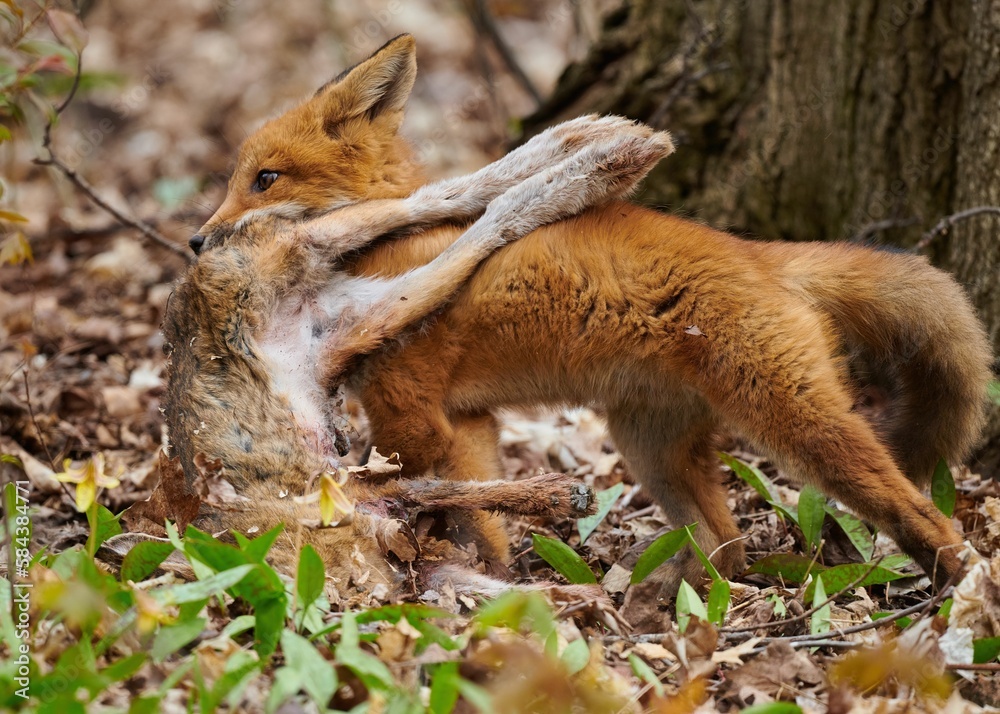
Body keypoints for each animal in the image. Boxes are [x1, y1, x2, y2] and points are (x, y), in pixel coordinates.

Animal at [193, 34, 993, 599]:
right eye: (237, 179)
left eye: (266, 179)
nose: (199, 243)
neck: (388, 247)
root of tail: (756, 252)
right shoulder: (468, 423)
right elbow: (484, 519)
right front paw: (495, 583)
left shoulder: (412, 413)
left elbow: (431, 502)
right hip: (654, 450)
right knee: (727, 547)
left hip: (796, 423)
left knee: (920, 514)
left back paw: (958, 594)